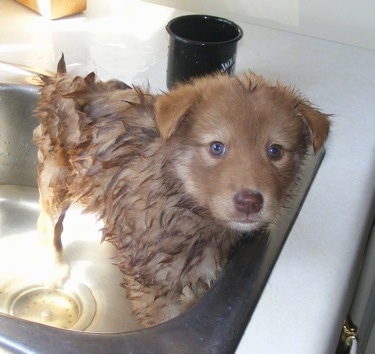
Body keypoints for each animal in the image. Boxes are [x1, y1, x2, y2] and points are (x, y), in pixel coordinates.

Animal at [33, 56, 330, 328]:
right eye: (216, 147)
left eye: (275, 151)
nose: (250, 202)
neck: (186, 203)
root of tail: (62, 80)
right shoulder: (150, 282)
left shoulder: (202, 277)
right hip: (55, 178)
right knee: (48, 225)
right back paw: (54, 268)